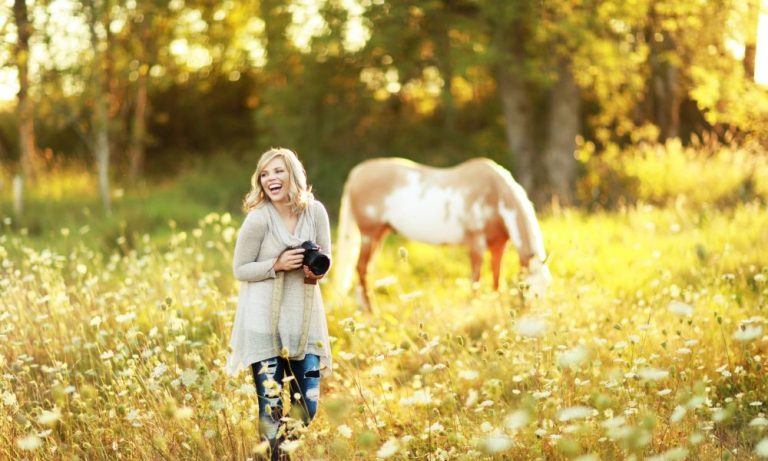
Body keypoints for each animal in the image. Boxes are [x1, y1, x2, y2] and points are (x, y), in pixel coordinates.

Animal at [333, 157, 552, 310]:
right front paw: (472, 308)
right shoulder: (476, 244)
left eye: (546, 287)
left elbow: (496, 276)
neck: (494, 194)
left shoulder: (498, 245)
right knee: (361, 268)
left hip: (380, 234)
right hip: (369, 233)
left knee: (365, 269)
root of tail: (357, 173)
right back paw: (371, 310)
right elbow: (476, 279)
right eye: (528, 287)